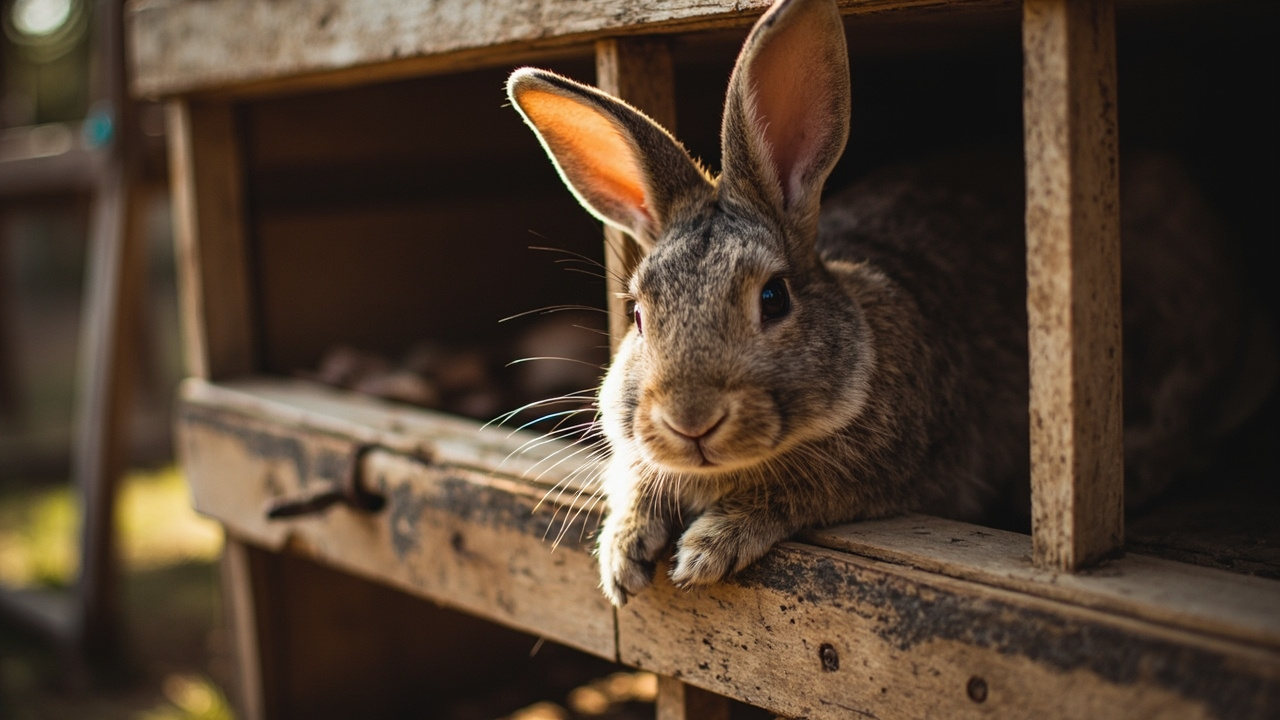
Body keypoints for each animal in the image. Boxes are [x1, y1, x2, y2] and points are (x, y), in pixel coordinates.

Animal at [506, 0, 1275, 606]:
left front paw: (710, 547)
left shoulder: (893, 466)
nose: (690, 418)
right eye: (638, 313)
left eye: (774, 298)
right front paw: (622, 554)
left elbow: (804, 490)